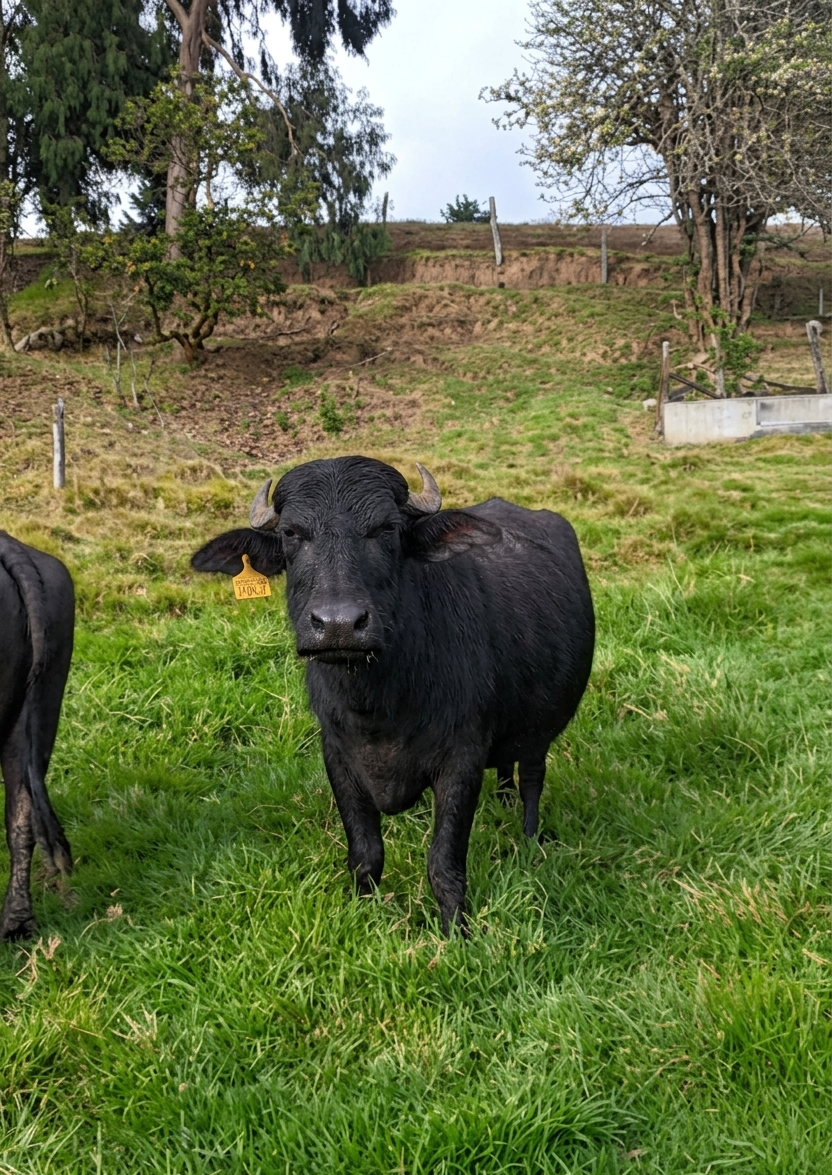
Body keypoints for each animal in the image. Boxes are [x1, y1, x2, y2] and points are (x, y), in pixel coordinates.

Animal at [192, 457, 594, 935]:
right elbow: (365, 854)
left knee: (533, 778)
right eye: (292, 533)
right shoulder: (337, 755)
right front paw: (363, 912)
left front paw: (456, 931)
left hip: (543, 728)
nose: (339, 624)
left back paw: (529, 839)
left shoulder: (462, 758)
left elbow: (444, 862)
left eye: (385, 529)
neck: (379, 705)